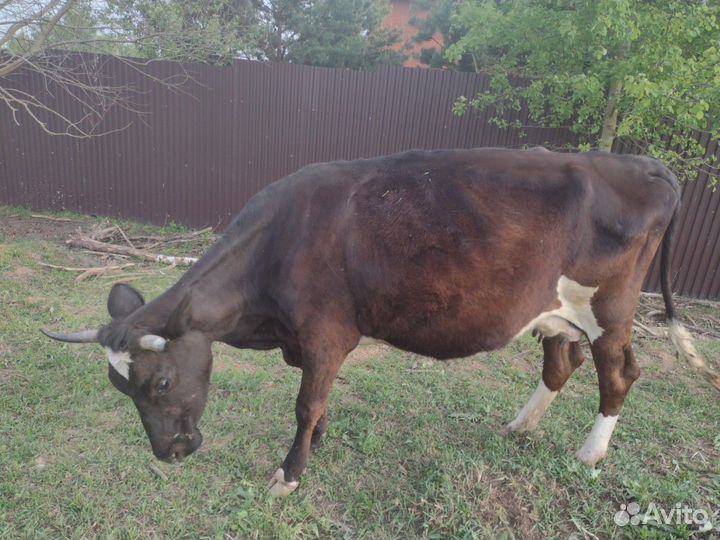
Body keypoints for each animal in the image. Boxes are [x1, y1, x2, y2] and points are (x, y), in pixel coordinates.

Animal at [43, 147, 720, 497]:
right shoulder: (307, 342)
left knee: (619, 373)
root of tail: (642, 163)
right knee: (563, 361)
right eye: (119, 387)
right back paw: (520, 426)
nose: (170, 452)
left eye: (160, 382)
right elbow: (318, 402)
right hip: (554, 311)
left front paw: (290, 472)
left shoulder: (324, 334)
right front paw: (317, 445)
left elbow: (305, 403)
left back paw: (588, 454)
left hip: (611, 309)